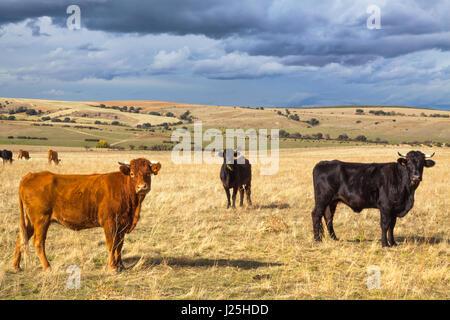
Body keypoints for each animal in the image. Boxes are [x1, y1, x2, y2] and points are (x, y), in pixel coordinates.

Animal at [12, 158, 162, 272]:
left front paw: (121, 265)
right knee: (38, 241)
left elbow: (119, 245)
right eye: (131, 173)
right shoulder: (109, 223)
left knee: (21, 237)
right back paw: (47, 267)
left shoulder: (122, 224)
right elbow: (112, 244)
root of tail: (30, 175)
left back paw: (16, 266)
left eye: (148, 173)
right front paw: (112, 267)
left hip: (31, 220)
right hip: (41, 219)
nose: (142, 187)